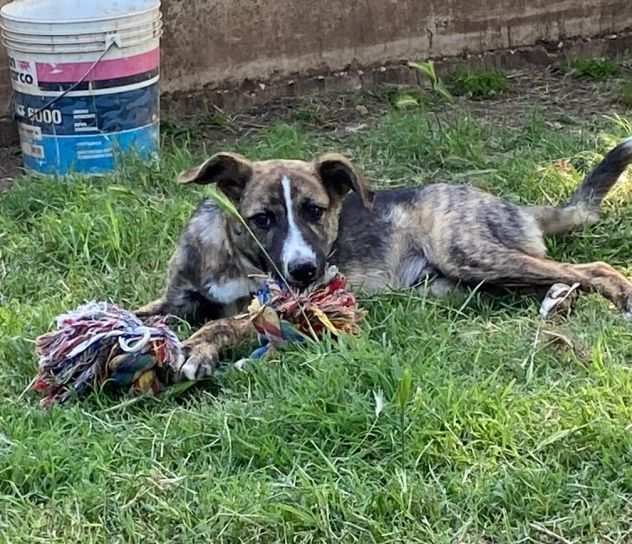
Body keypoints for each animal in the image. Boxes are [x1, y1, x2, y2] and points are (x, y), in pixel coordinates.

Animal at [138, 138, 632, 380]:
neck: (237, 259)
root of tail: (515, 207)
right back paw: (558, 298)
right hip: (456, 284)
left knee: (592, 268)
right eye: (263, 219)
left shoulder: (281, 307)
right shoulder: (175, 300)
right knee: (553, 279)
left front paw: (197, 348)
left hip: (466, 251)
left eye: (316, 211)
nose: (306, 272)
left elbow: (225, 323)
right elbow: (144, 313)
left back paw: (618, 295)